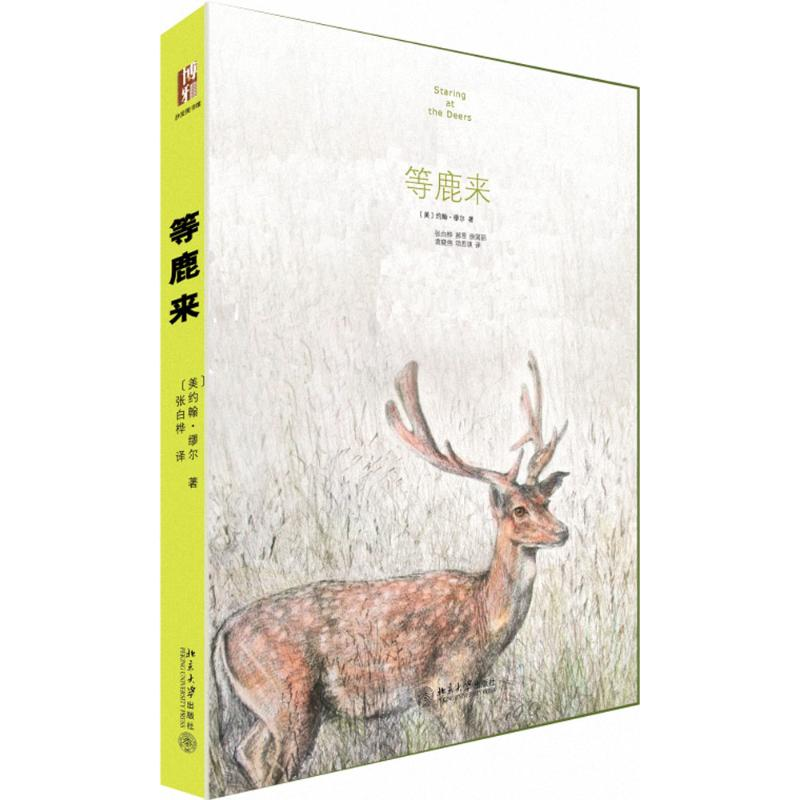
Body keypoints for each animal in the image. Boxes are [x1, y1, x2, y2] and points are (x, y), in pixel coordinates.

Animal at [212, 353, 569, 788]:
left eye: (546, 502)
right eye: (519, 510)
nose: (562, 531)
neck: (484, 616)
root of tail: (222, 633)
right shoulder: (444, 684)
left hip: (266, 708)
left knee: (248, 753)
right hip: (288, 700)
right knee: (276, 764)